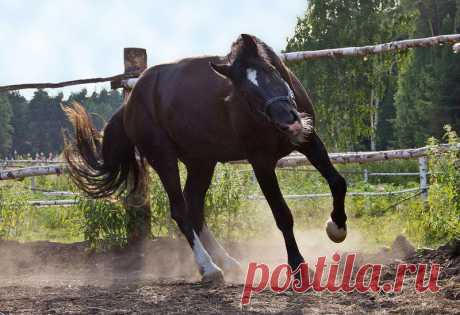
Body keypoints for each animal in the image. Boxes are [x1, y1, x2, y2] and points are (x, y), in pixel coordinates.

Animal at [63, 34, 344, 284]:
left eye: (271, 72)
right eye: (245, 92)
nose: (289, 123)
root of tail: (130, 102)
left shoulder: (310, 141)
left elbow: (338, 182)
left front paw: (336, 228)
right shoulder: (261, 161)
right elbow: (282, 214)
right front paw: (299, 268)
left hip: (201, 162)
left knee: (195, 207)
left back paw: (228, 262)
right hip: (163, 158)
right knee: (181, 210)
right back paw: (209, 268)